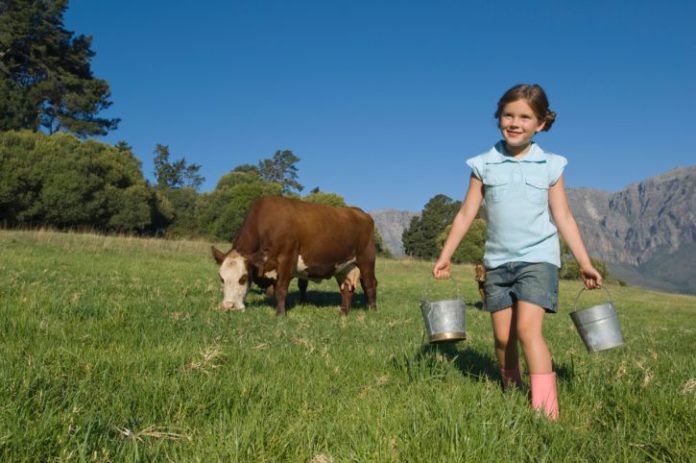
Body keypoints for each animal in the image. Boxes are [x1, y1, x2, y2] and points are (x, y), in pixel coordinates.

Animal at [211, 196, 378, 316]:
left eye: (243, 278)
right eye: (221, 278)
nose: (228, 306)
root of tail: (360, 212)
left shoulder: (286, 258)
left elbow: (281, 288)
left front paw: (280, 314)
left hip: (366, 259)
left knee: (369, 284)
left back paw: (372, 310)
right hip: (344, 266)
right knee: (347, 288)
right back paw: (343, 312)